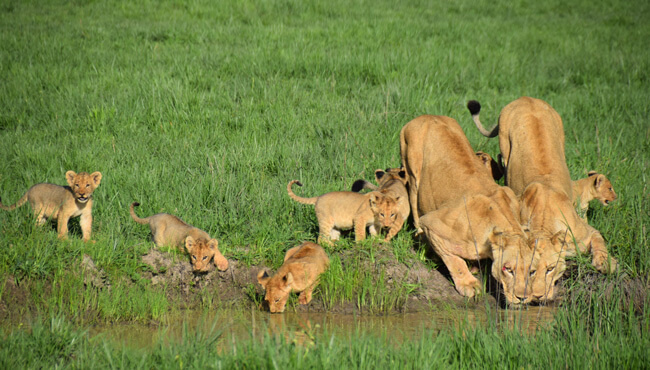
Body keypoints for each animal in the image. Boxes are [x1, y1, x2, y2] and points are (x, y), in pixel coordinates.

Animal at [398, 115, 536, 306]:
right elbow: (454, 260)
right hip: (412, 171)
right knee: (415, 207)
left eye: (532, 271)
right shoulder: (433, 224)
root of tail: (426, 116)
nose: (522, 298)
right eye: (507, 269)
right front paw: (469, 284)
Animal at [468, 97, 616, 302]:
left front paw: (606, 263)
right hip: (505, 147)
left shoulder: (587, 232)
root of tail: (525, 98)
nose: (538, 297)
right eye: (529, 271)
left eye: (550, 269)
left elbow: (600, 242)